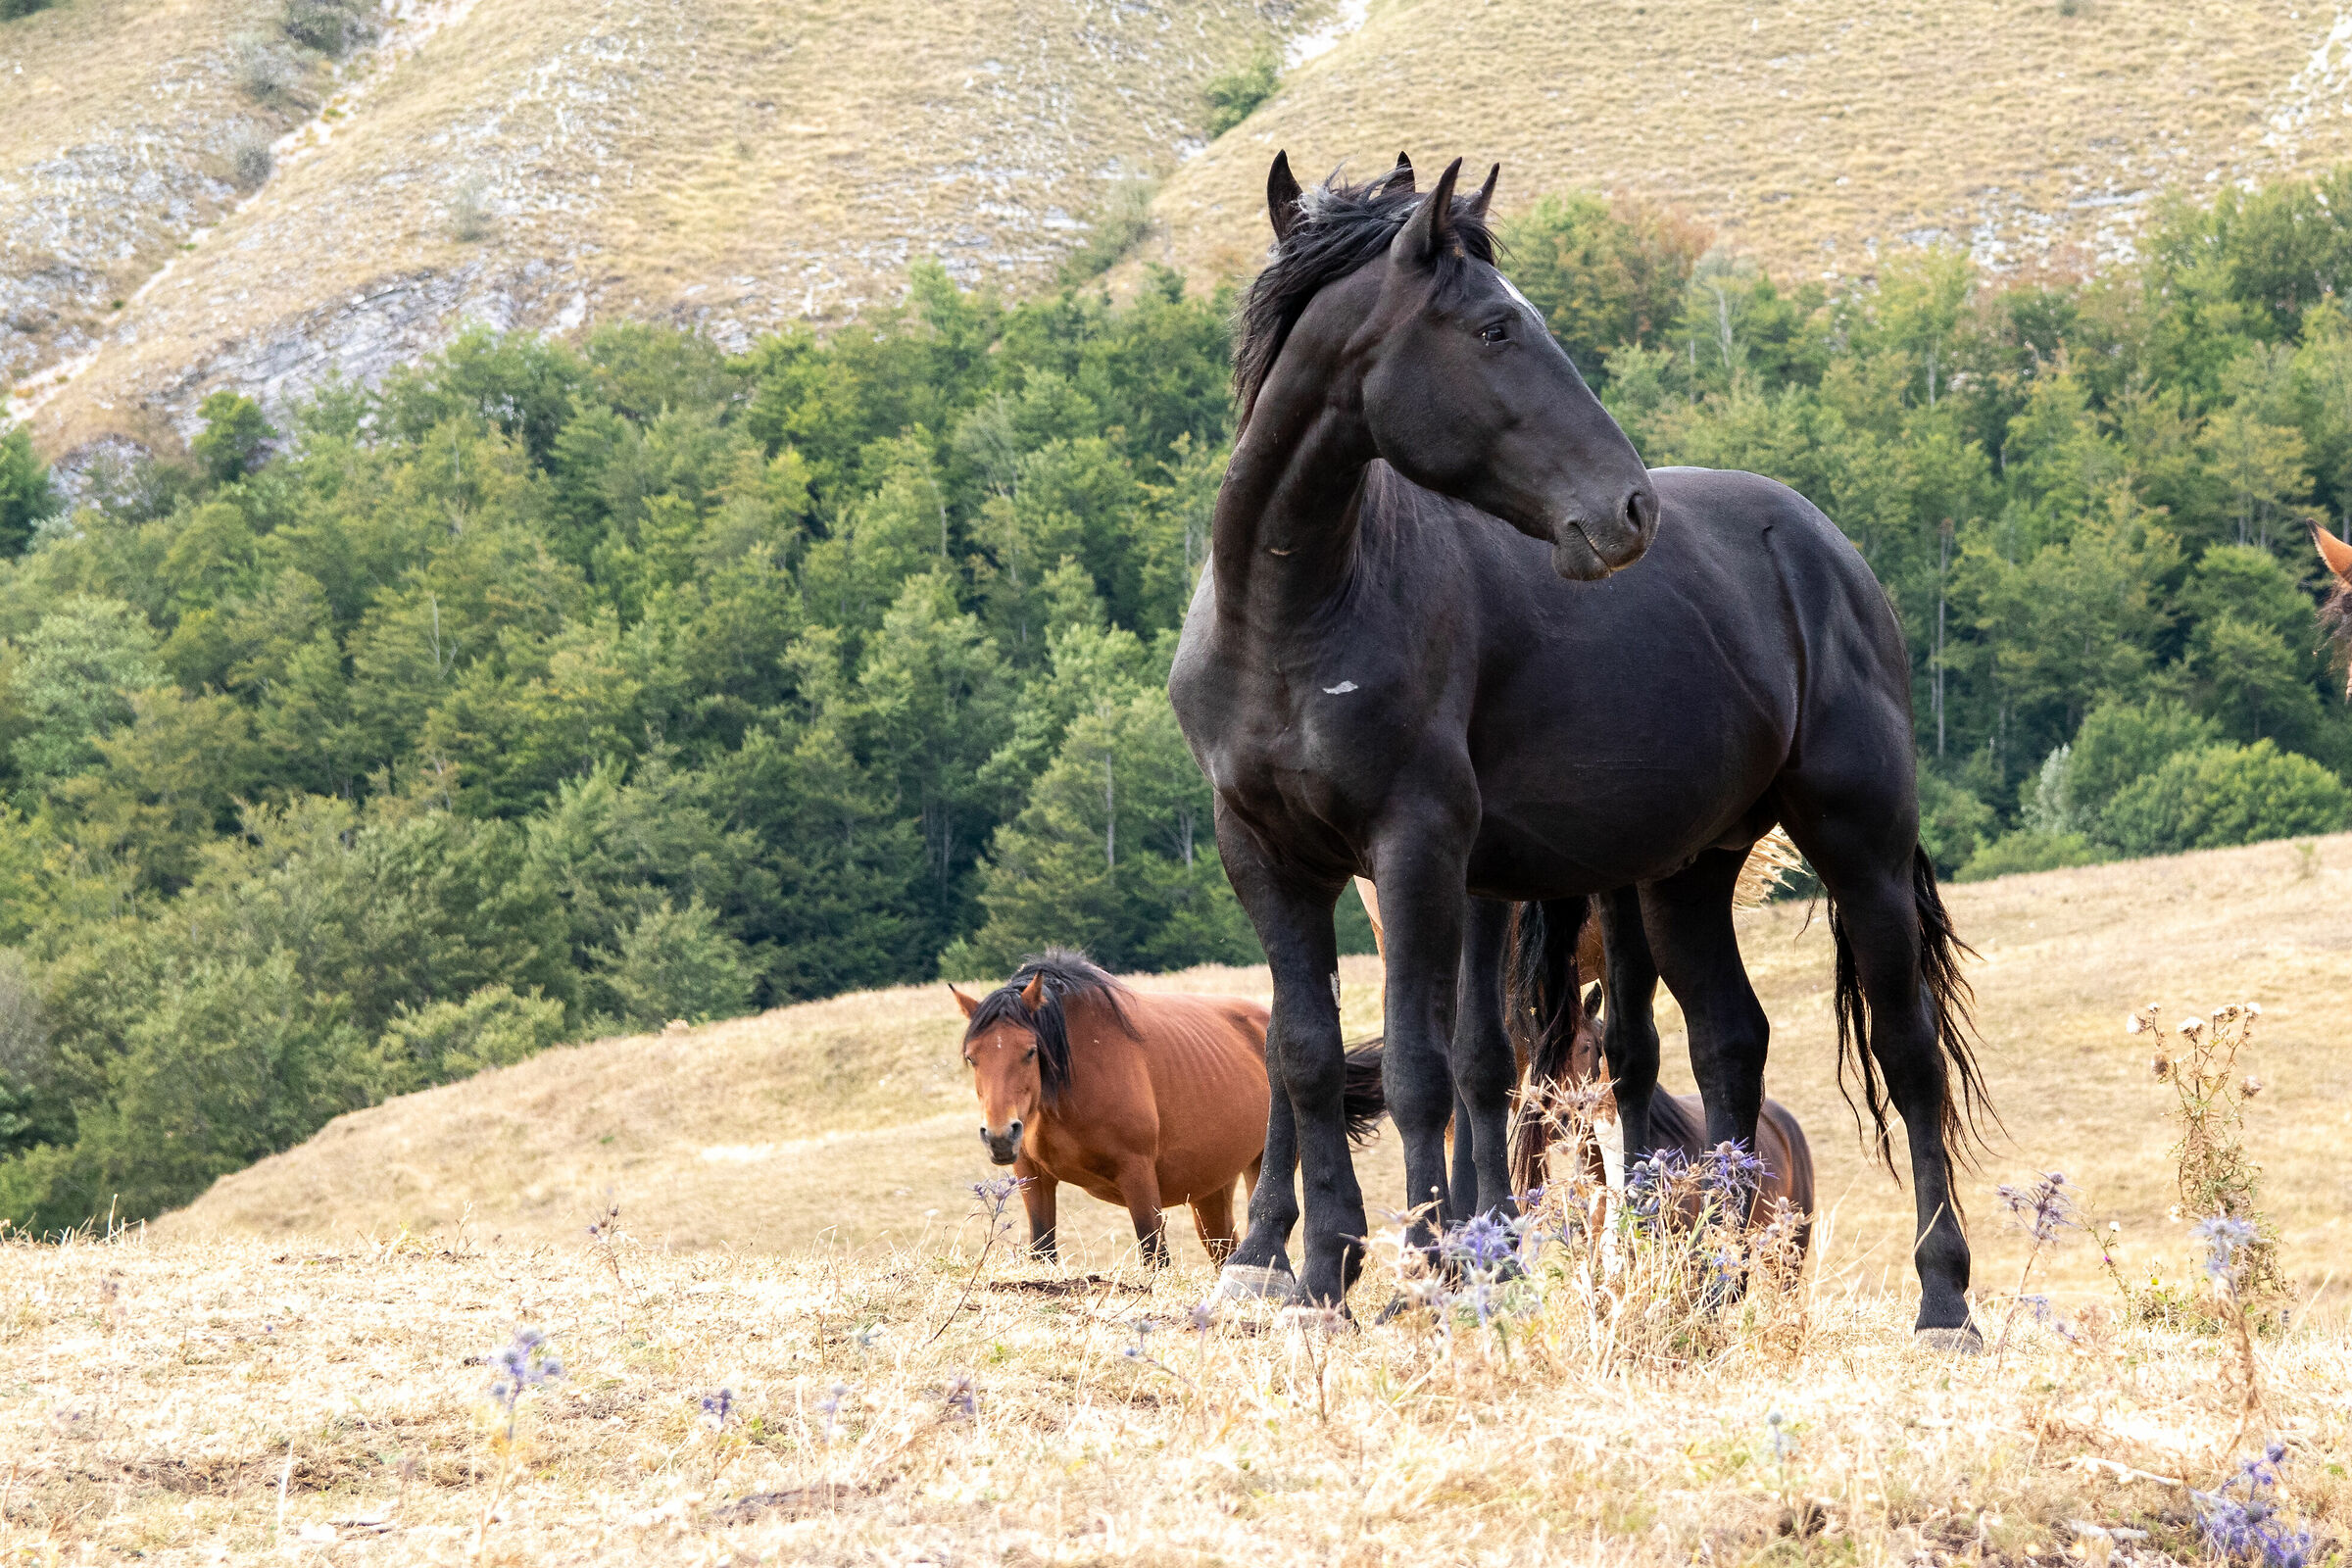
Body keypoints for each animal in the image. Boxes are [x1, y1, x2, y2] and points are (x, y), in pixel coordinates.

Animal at [951, 951, 1385, 1266]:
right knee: (1224, 1250)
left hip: (1262, 1164)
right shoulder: (1033, 1177)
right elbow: (1043, 1251)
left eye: (1030, 1052)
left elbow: (1154, 1255)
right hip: (1210, 1190)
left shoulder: (1138, 1174)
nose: (1000, 1136)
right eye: (973, 1057)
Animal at [1167, 151, 1986, 1343]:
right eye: (1496, 328)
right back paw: (1710, 1294)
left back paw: (1943, 1300)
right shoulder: (1268, 856)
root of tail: (1827, 547)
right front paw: (1317, 1276)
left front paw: (1432, 1271)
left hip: (1859, 849)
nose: (1628, 509)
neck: (1294, 612)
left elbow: (1425, 1069)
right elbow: (1307, 1057)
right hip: (1687, 875)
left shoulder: (1418, 851)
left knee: (1907, 1055)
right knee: (1729, 1042)